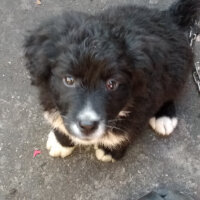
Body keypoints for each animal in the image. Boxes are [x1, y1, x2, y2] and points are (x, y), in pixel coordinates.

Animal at [23, 0, 200, 162]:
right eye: (69, 80)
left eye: (112, 84)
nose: (87, 126)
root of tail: (168, 17)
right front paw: (61, 142)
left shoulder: (142, 103)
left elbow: (126, 131)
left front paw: (110, 150)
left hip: (177, 68)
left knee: (170, 92)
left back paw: (164, 116)